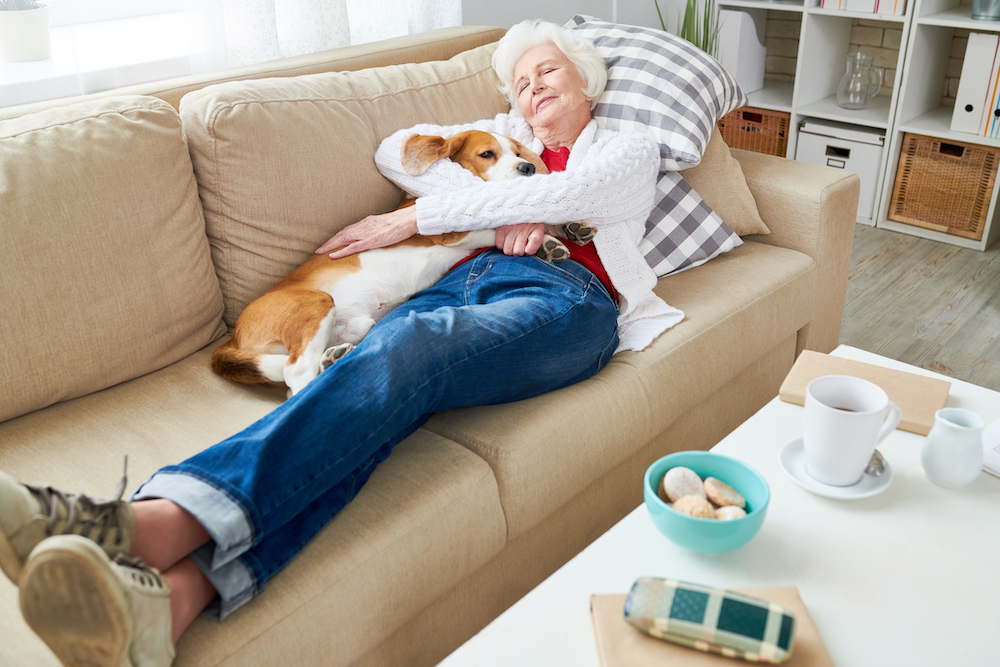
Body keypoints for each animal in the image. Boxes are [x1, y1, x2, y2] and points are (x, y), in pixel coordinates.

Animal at [210, 130, 592, 396]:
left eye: (515, 152)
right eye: (487, 154)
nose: (528, 167)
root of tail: (233, 338)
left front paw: (561, 233)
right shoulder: (451, 231)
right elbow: (505, 221)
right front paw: (548, 232)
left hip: (352, 324)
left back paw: (333, 357)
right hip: (316, 303)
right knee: (295, 375)